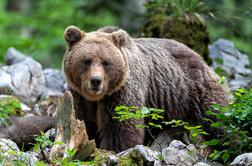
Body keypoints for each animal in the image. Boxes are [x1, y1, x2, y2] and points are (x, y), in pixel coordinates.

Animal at [62, 25, 229, 153]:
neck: (97, 98)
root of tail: (198, 56)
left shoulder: (120, 93)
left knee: (218, 118)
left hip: (194, 87)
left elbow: (121, 125)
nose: (96, 81)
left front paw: (115, 149)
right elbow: (83, 122)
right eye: (87, 61)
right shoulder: (79, 97)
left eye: (105, 62)